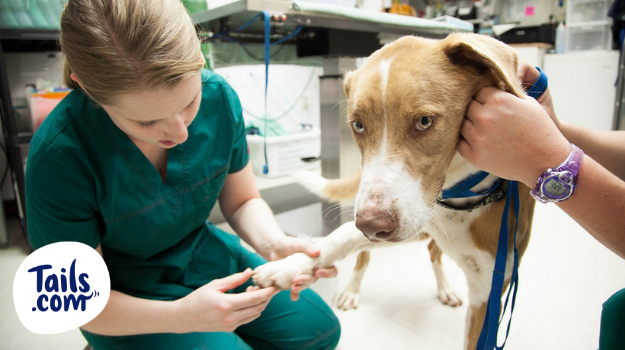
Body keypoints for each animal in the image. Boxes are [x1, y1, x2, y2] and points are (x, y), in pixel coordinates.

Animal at [251, 33, 532, 350]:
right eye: (357, 125)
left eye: (424, 122)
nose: (372, 226)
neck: (459, 197)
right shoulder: (409, 222)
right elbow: (340, 236)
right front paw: (288, 266)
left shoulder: (489, 293)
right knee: (368, 254)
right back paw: (351, 289)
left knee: (433, 252)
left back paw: (445, 288)